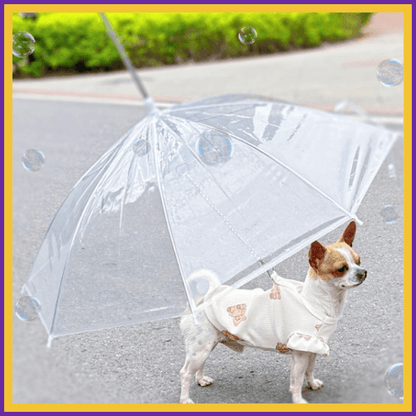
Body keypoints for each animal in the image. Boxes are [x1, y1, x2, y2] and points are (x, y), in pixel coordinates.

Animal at [180, 221, 368, 404]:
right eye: (342, 268)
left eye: (359, 261)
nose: (363, 272)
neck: (314, 302)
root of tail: (203, 298)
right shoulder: (301, 353)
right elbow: (297, 380)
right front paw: (298, 400)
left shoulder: (312, 349)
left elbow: (309, 370)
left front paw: (312, 384)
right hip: (200, 349)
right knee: (185, 373)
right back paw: (185, 400)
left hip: (206, 346)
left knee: (199, 366)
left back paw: (201, 380)